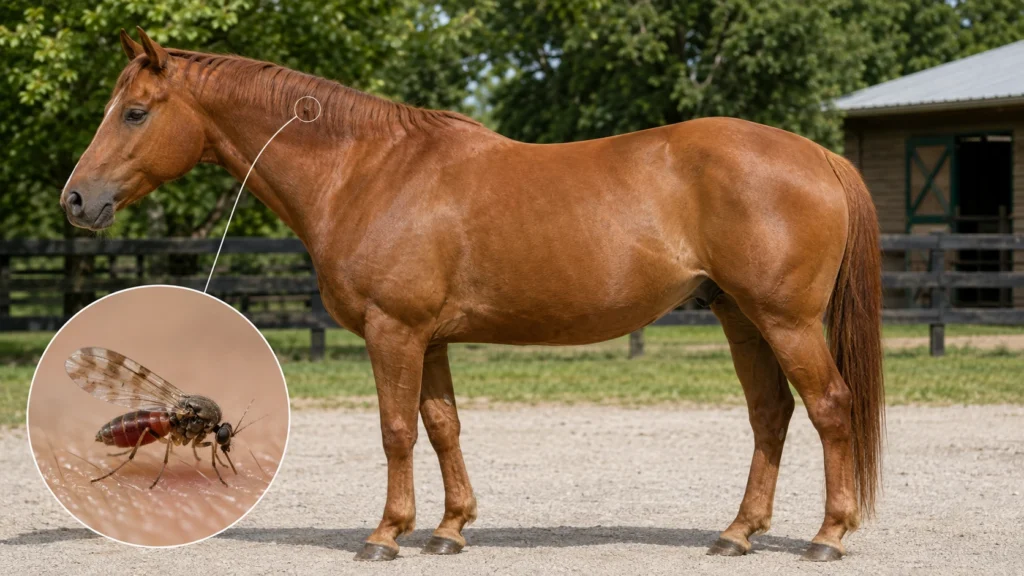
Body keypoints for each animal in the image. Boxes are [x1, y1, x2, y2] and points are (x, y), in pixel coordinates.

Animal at [62, 28, 884, 562]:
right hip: (741, 317)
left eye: (135, 112)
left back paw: (827, 536)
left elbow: (396, 430)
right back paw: (738, 533)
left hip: (786, 320)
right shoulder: (429, 339)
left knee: (828, 408)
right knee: (771, 415)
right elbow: (442, 425)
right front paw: (449, 529)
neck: (367, 170)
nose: (76, 201)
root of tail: (816, 154)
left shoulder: (394, 332)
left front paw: (385, 535)